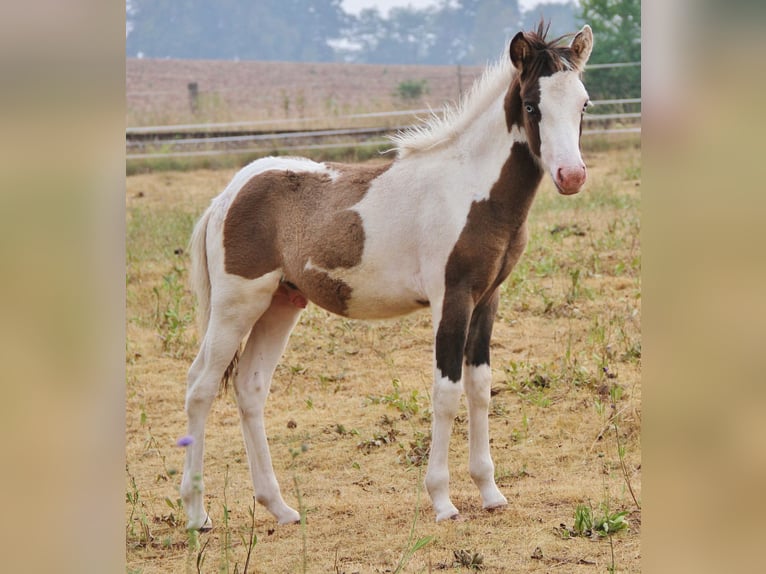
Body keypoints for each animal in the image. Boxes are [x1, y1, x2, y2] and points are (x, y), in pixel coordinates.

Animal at [180, 22, 594, 530]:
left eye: (583, 103)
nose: (571, 176)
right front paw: (442, 501)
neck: (471, 190)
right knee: (200, 387)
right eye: (533, 105)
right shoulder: (451, 298)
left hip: (280, 304)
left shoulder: (487, 299)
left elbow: (479, 389)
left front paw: (490, 491)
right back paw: (197, 514)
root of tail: (228, 193)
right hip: (237, 304)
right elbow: (447, 392)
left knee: (250, 388)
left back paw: (279, 507)